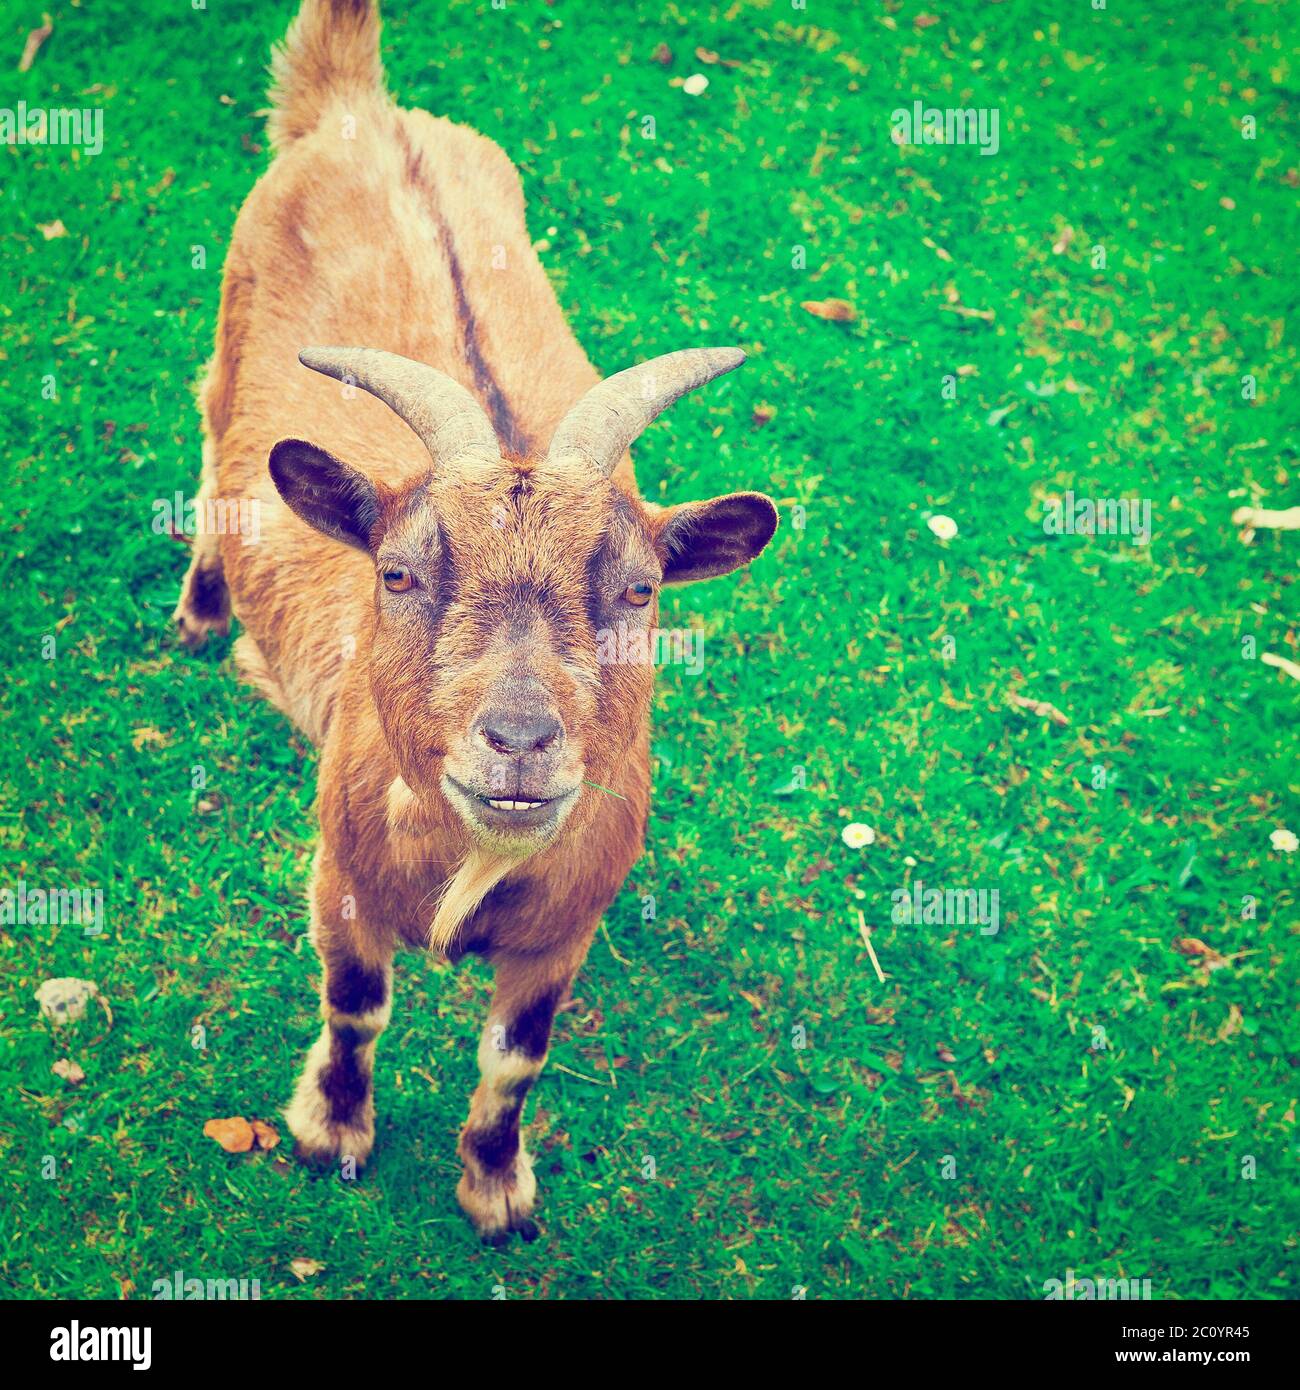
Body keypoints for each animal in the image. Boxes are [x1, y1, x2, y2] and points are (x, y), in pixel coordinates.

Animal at [176, 0, 778, 1239]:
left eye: (638, 588)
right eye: (400, 574)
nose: (518, 741)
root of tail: (362, 111)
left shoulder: (562, 930)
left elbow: (516, 1058)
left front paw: (497, 1188)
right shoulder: (340, 875)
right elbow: (356, 1004)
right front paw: (331, 1130)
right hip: (228, 322)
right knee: (211, 441)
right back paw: (205, 613)